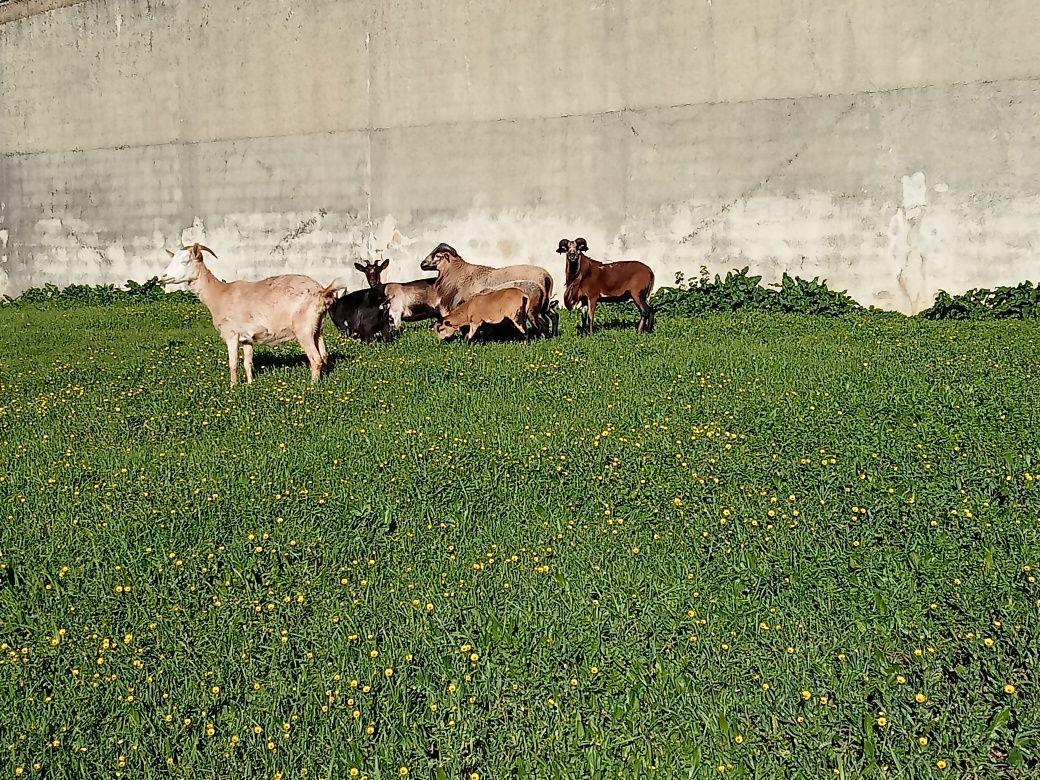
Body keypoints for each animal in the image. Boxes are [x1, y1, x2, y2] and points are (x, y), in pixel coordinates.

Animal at [159, 245, 336, 386]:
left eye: (185, 261)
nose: (163, 277)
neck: (220, 294)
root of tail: (322, 292)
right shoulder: (247, 338)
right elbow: (247, 362)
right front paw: (250, 384)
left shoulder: (231, 334)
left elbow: (233, 363)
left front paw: (233, 387)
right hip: (317, 327)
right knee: (323, 355)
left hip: (303, 329)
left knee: (315, 359)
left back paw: (311, 387)